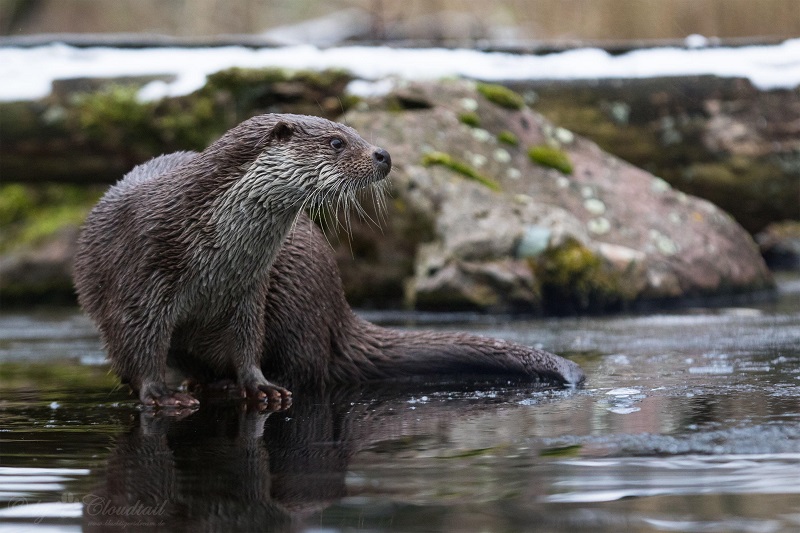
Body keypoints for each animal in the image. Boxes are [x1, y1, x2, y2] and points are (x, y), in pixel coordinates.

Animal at [75, 112, 584, 406]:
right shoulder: (141, 281)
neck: (211, 257)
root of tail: (338, 305)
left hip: (299, 295)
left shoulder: (248, 292)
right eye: (337, 141)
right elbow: (138, 344)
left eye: (356, 132)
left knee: (307, 366)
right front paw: (157, 393)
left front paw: (259, 386)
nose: (383, 154)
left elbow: (246, 344)